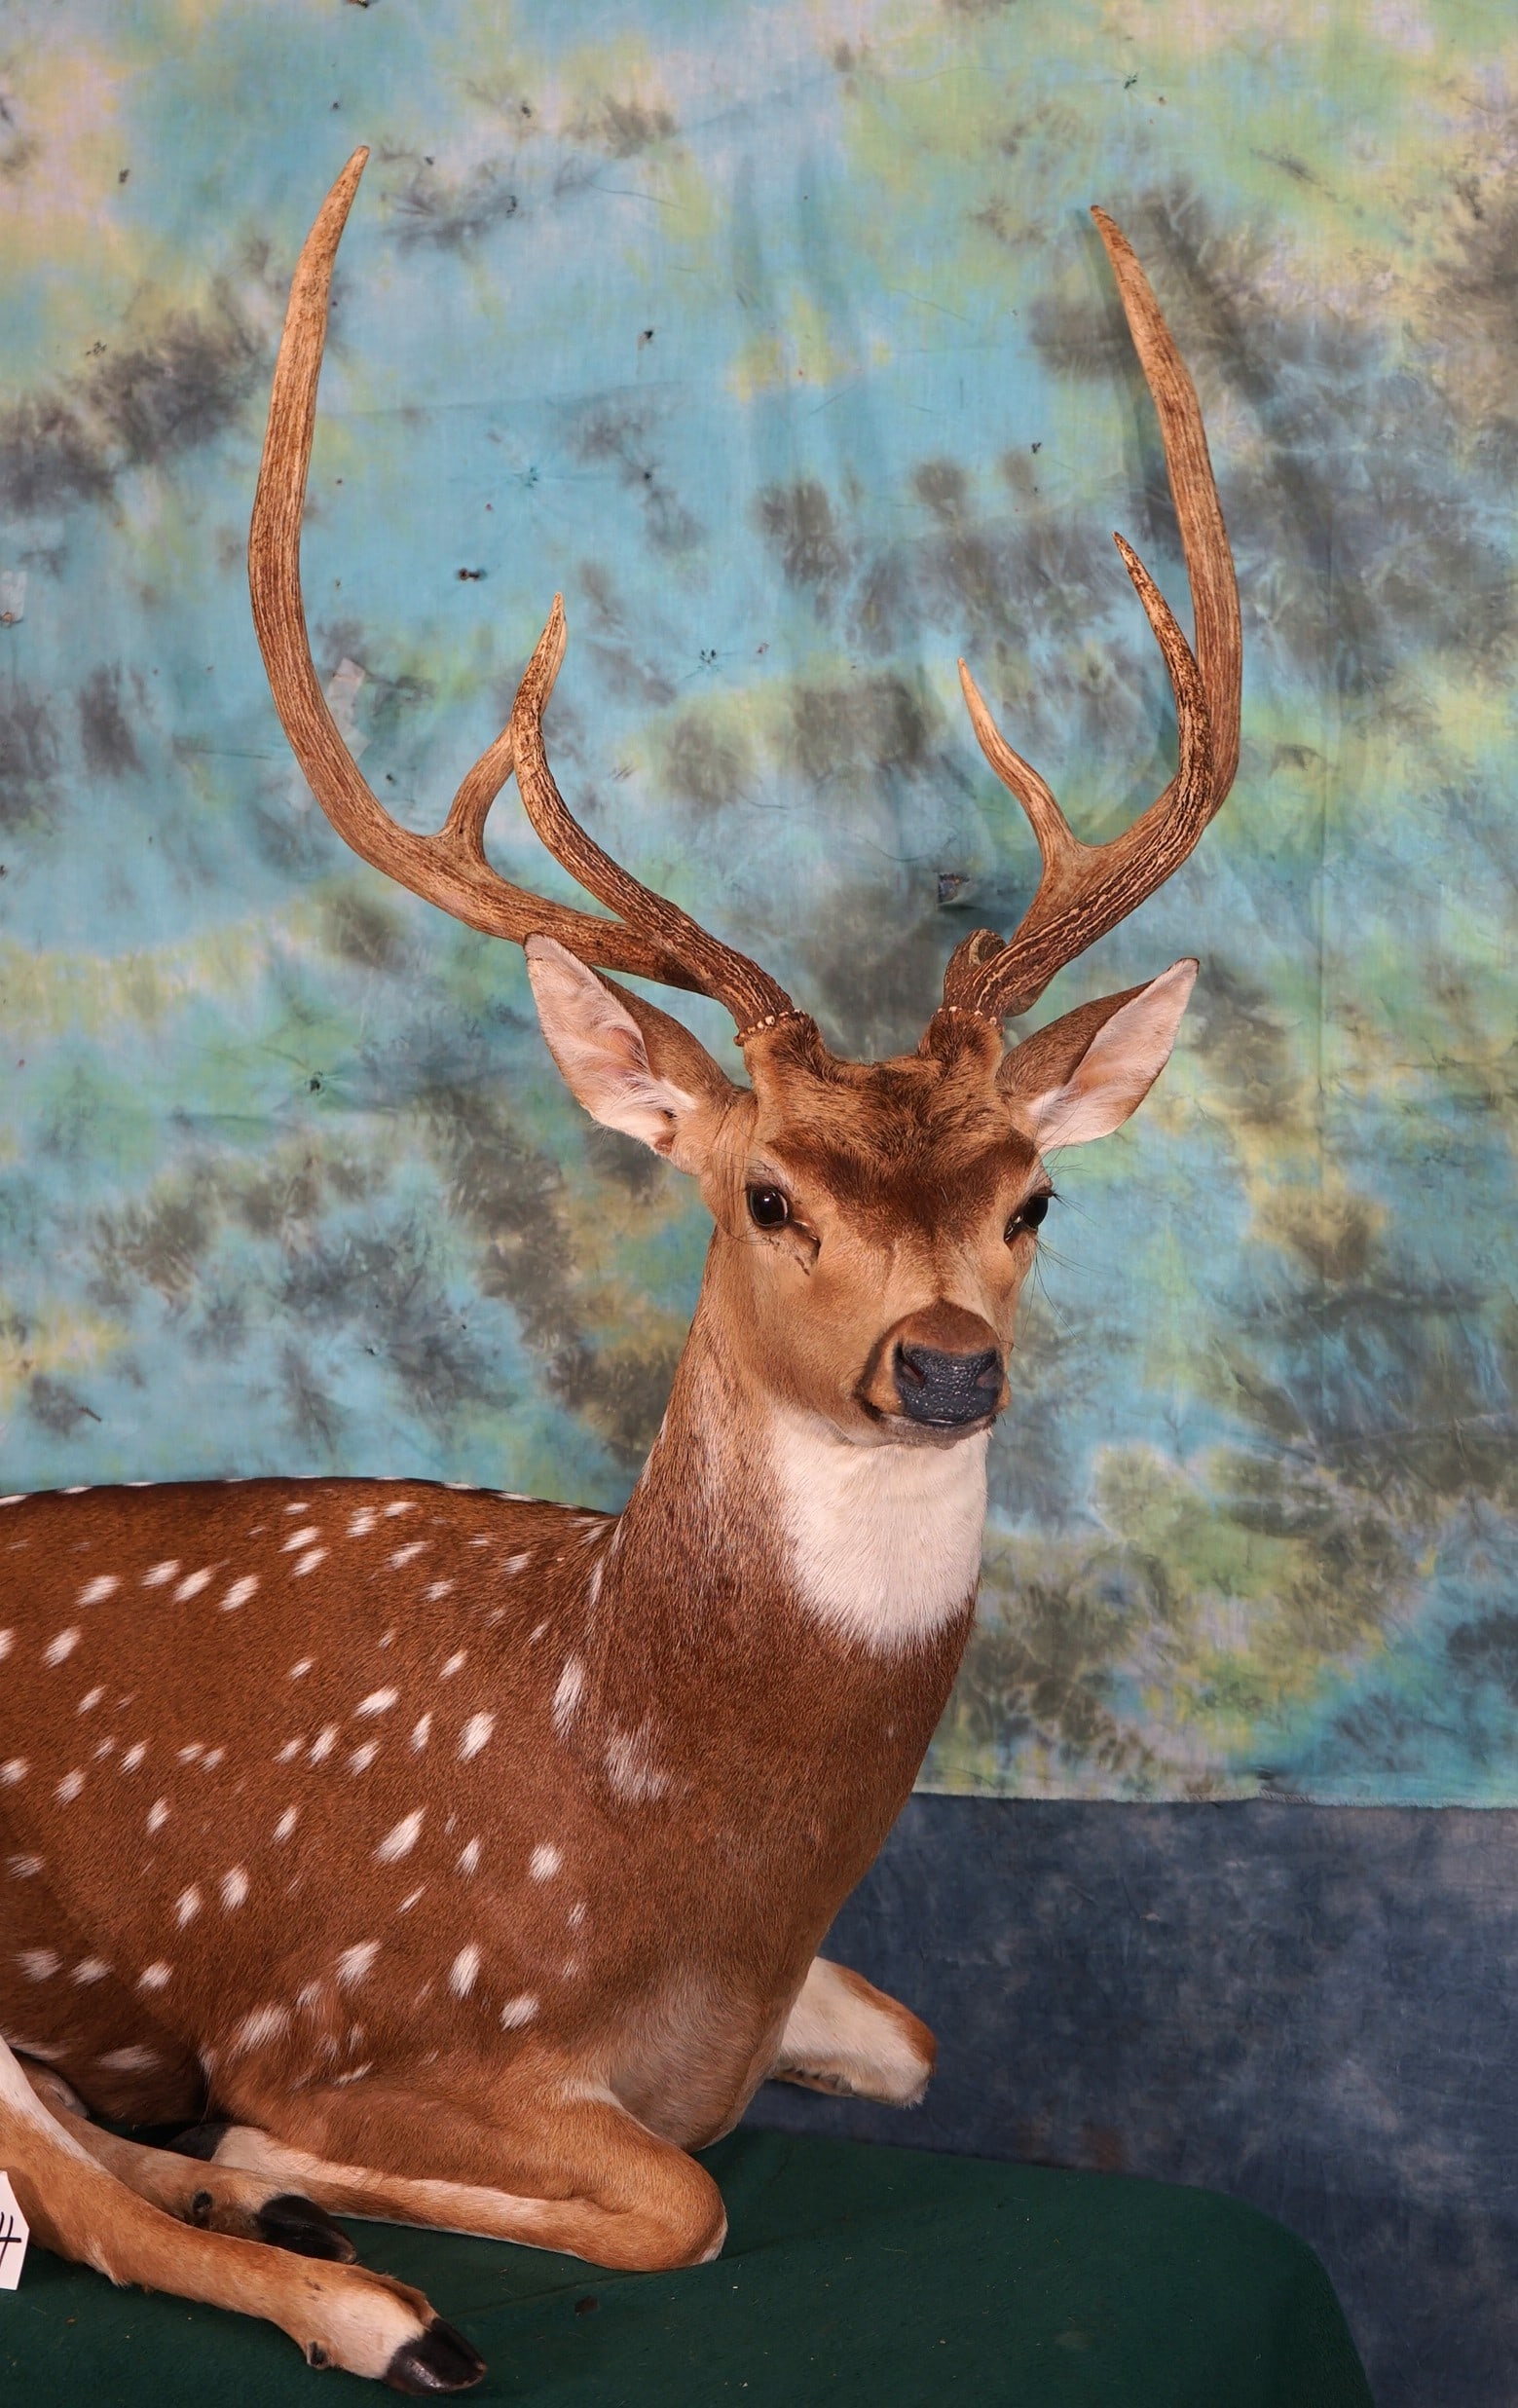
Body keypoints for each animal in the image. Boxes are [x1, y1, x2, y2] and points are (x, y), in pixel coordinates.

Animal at [0, 151, 1240, 2390]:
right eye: (763, 1196)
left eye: (1030, 1197)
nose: (943, 1362)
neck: (661, 1850)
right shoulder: (361, 1996)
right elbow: (674, 2196)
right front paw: (285, 2151)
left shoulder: (814, 2006)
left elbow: (910, 2043)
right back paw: (356, 2285)